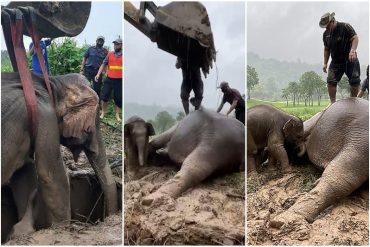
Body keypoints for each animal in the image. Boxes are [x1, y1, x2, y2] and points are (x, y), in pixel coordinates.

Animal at [0, 73, 117, 233]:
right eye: (92, 126)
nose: (107, 218)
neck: (53, 83)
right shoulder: (45, 117)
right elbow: (52, 176)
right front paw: (63, 228)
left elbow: (24, 173)